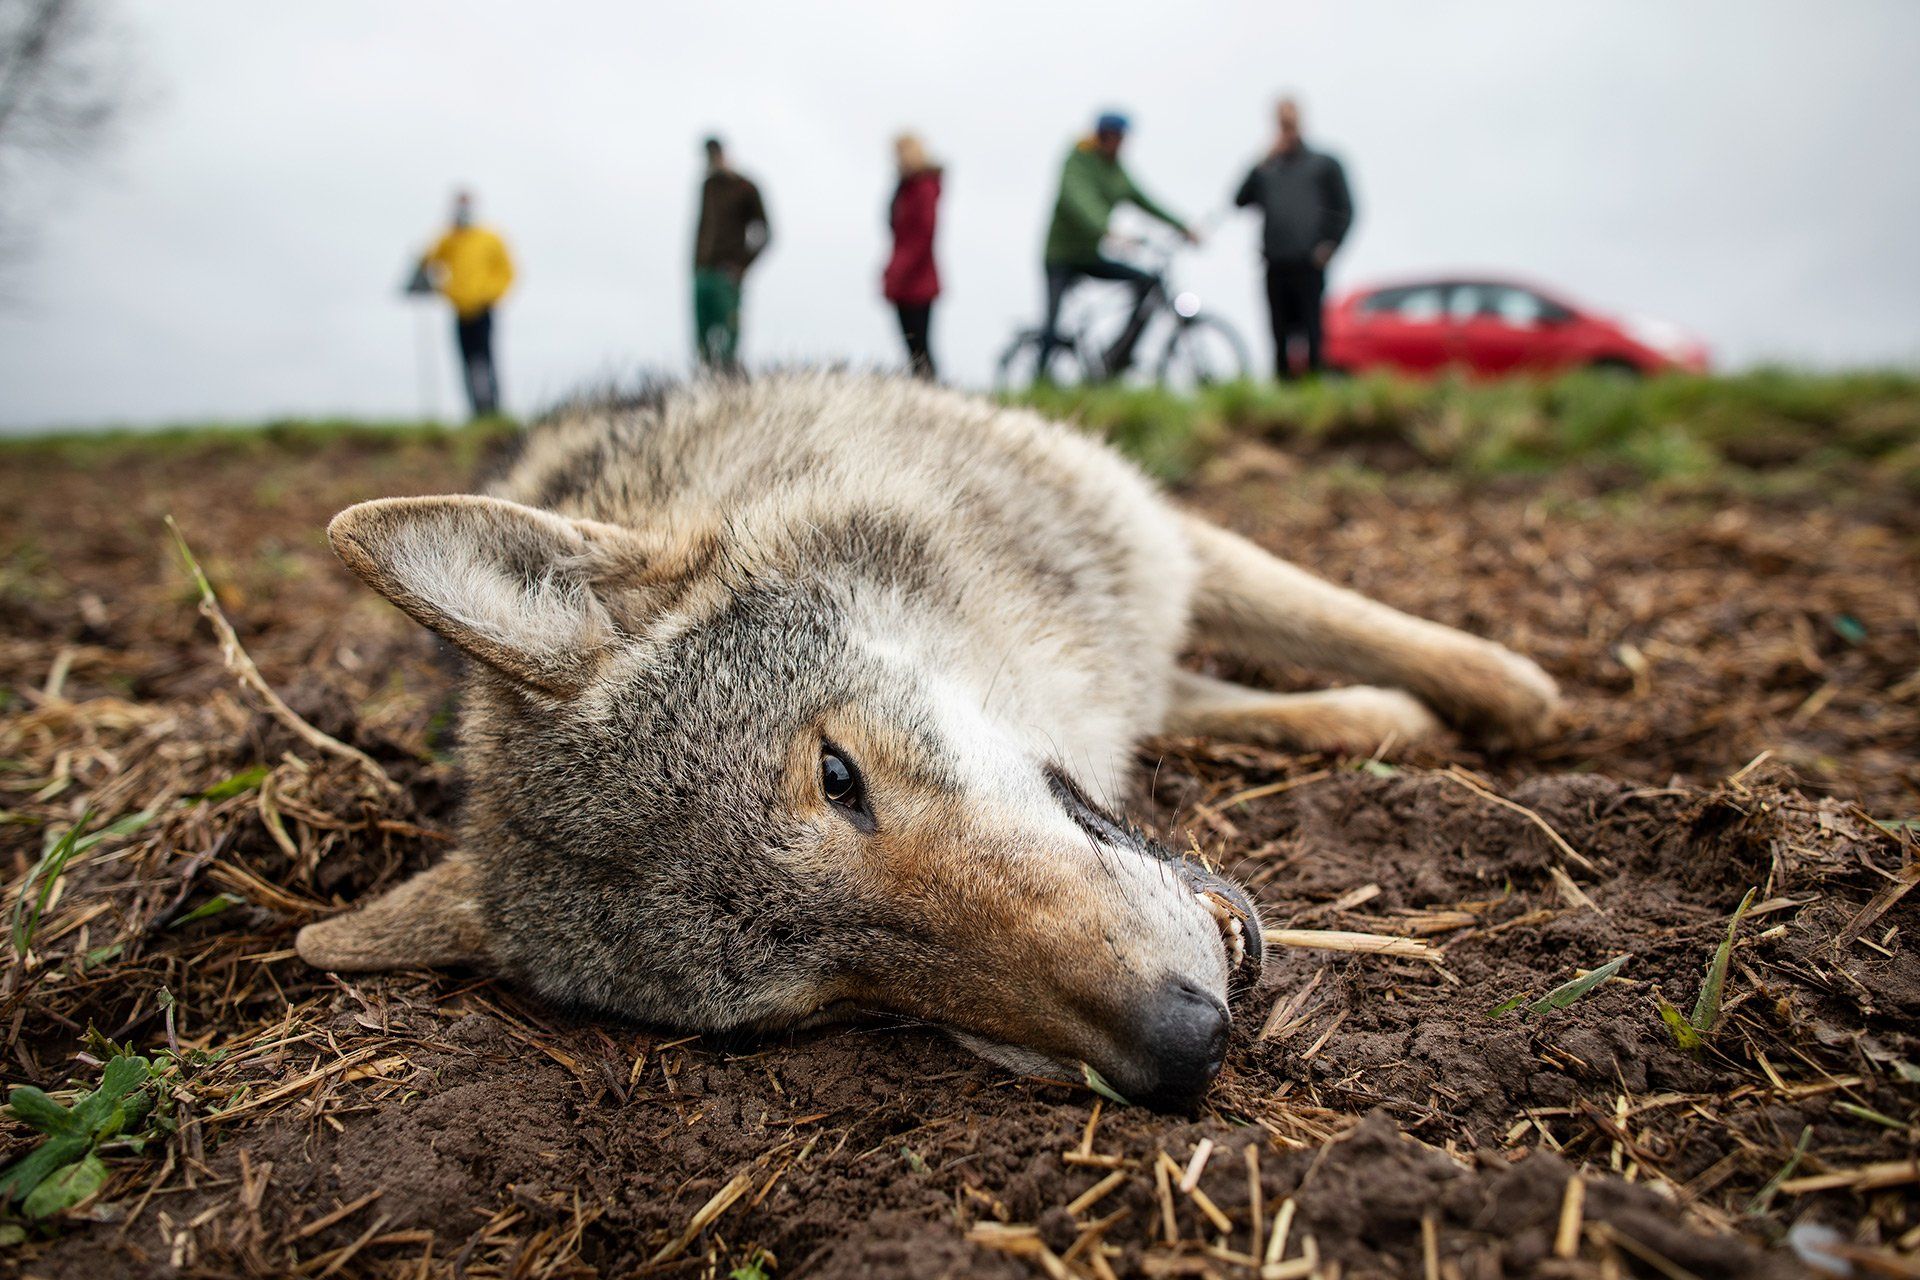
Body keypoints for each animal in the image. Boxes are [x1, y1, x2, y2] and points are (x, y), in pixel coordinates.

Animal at [297, 372, 1556, 1109]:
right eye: (834, 1005)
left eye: (837, 773)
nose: (1183, 1048)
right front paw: (1404, 714)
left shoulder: (1145, 539)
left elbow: (1342, 621)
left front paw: (1511, 690)